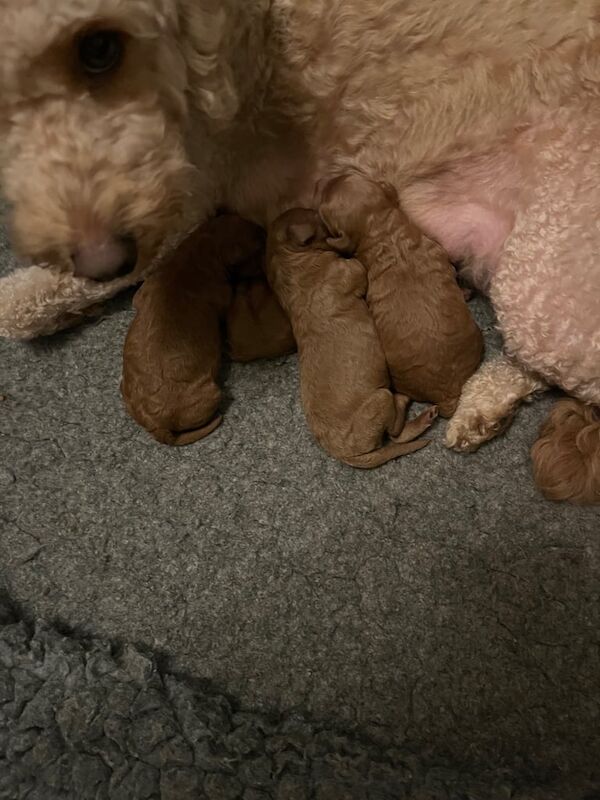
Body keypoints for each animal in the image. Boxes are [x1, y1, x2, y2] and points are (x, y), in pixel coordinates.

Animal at [121, 216, 262, 446]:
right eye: (257, 249)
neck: (198, 250)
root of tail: (158, 426)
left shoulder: (142, 292)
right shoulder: (223, 295)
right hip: (213, 393)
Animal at [268, 206, 436, 468]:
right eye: (319, 220)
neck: (289, 263)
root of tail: (346, 455)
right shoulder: (349, 270)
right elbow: (357, 266)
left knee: (397, 436)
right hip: (380, 398)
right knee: (396, 433)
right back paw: (410, 407)